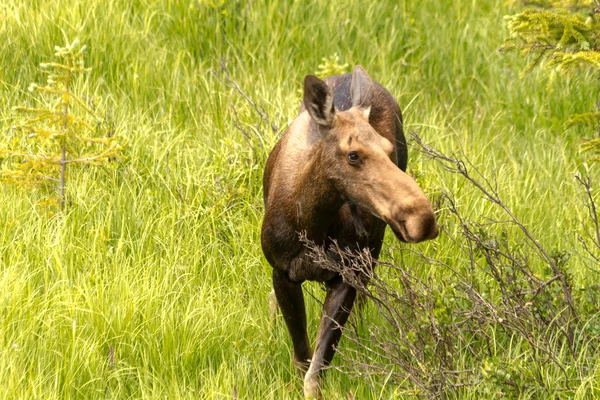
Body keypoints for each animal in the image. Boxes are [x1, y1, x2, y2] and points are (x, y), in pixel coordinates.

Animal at [260, 66, 438, 400]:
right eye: (353, 154)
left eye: (388, 150)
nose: (422, 218)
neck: (312, 225)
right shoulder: (282, 271)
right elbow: (302, 357)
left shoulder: (346, 275)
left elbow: (316, 372)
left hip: (371, 253)